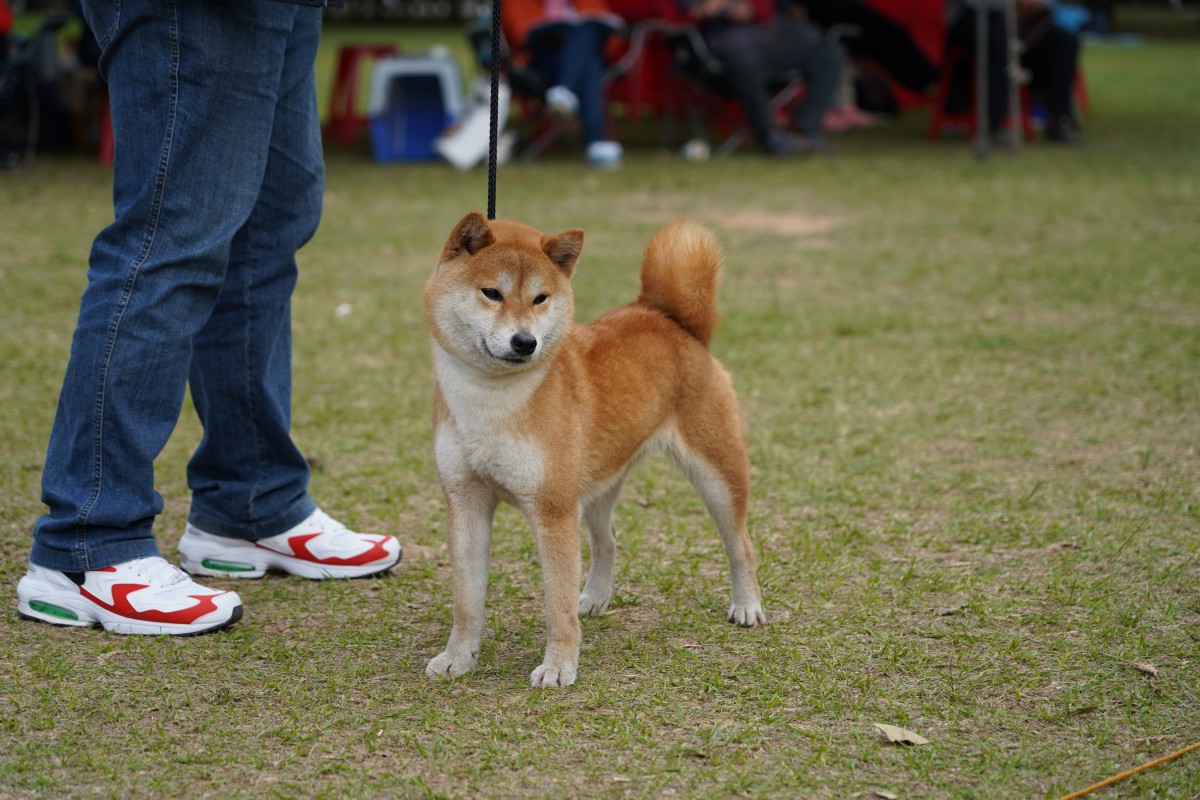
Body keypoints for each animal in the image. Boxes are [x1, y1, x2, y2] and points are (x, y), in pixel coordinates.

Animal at [424, 211, 758, 690]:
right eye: (492, 293)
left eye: (540, 298)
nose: (525, 342)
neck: (490, 400)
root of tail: (670, 319)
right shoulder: (465, 502)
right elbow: (467, 601)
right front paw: (458, 658)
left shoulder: (554, 510)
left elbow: (557, 605)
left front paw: (559, 666)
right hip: (598, 488)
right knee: (608, 541)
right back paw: (597, 597)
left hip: (717, 476)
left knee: (741, 544)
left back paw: (747, 604)